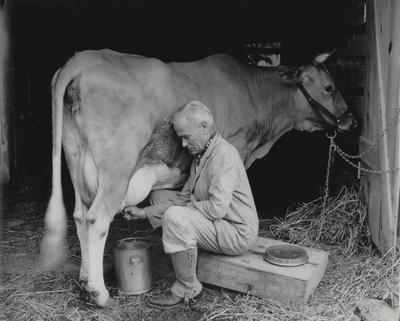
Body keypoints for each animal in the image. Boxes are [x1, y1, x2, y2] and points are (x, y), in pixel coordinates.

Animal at [40, 48, 358, 306]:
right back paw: (99, 294)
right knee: (97, 220)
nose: (351, 120)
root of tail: (85, 57)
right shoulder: (238, 149)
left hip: (76, 160)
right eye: (329, 87)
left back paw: (84, 281)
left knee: (80, 216)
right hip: (116, 169)